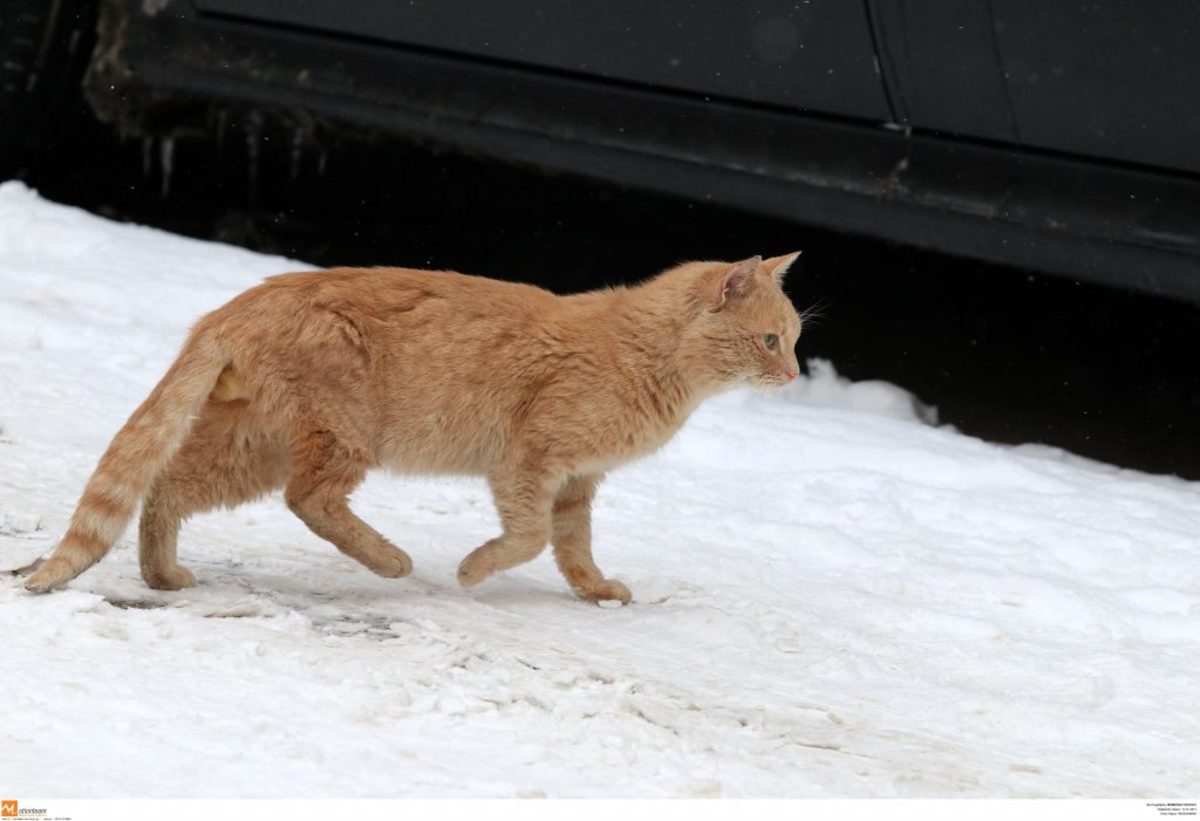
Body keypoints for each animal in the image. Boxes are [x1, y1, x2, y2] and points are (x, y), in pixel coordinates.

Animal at [18, 253, 801, 604]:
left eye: (794, 340)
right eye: (770, 340)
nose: (795, 375)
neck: (645, 354)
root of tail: (237, 303)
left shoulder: (577, 480)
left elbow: (571, 545)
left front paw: (594, 588)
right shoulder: (529, 460)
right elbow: (527, 536)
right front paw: (473, 570)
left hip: (256, 445)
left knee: (168, 487)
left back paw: (163, 573)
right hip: (340, 436)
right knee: (310, 500)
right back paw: (389, 561)